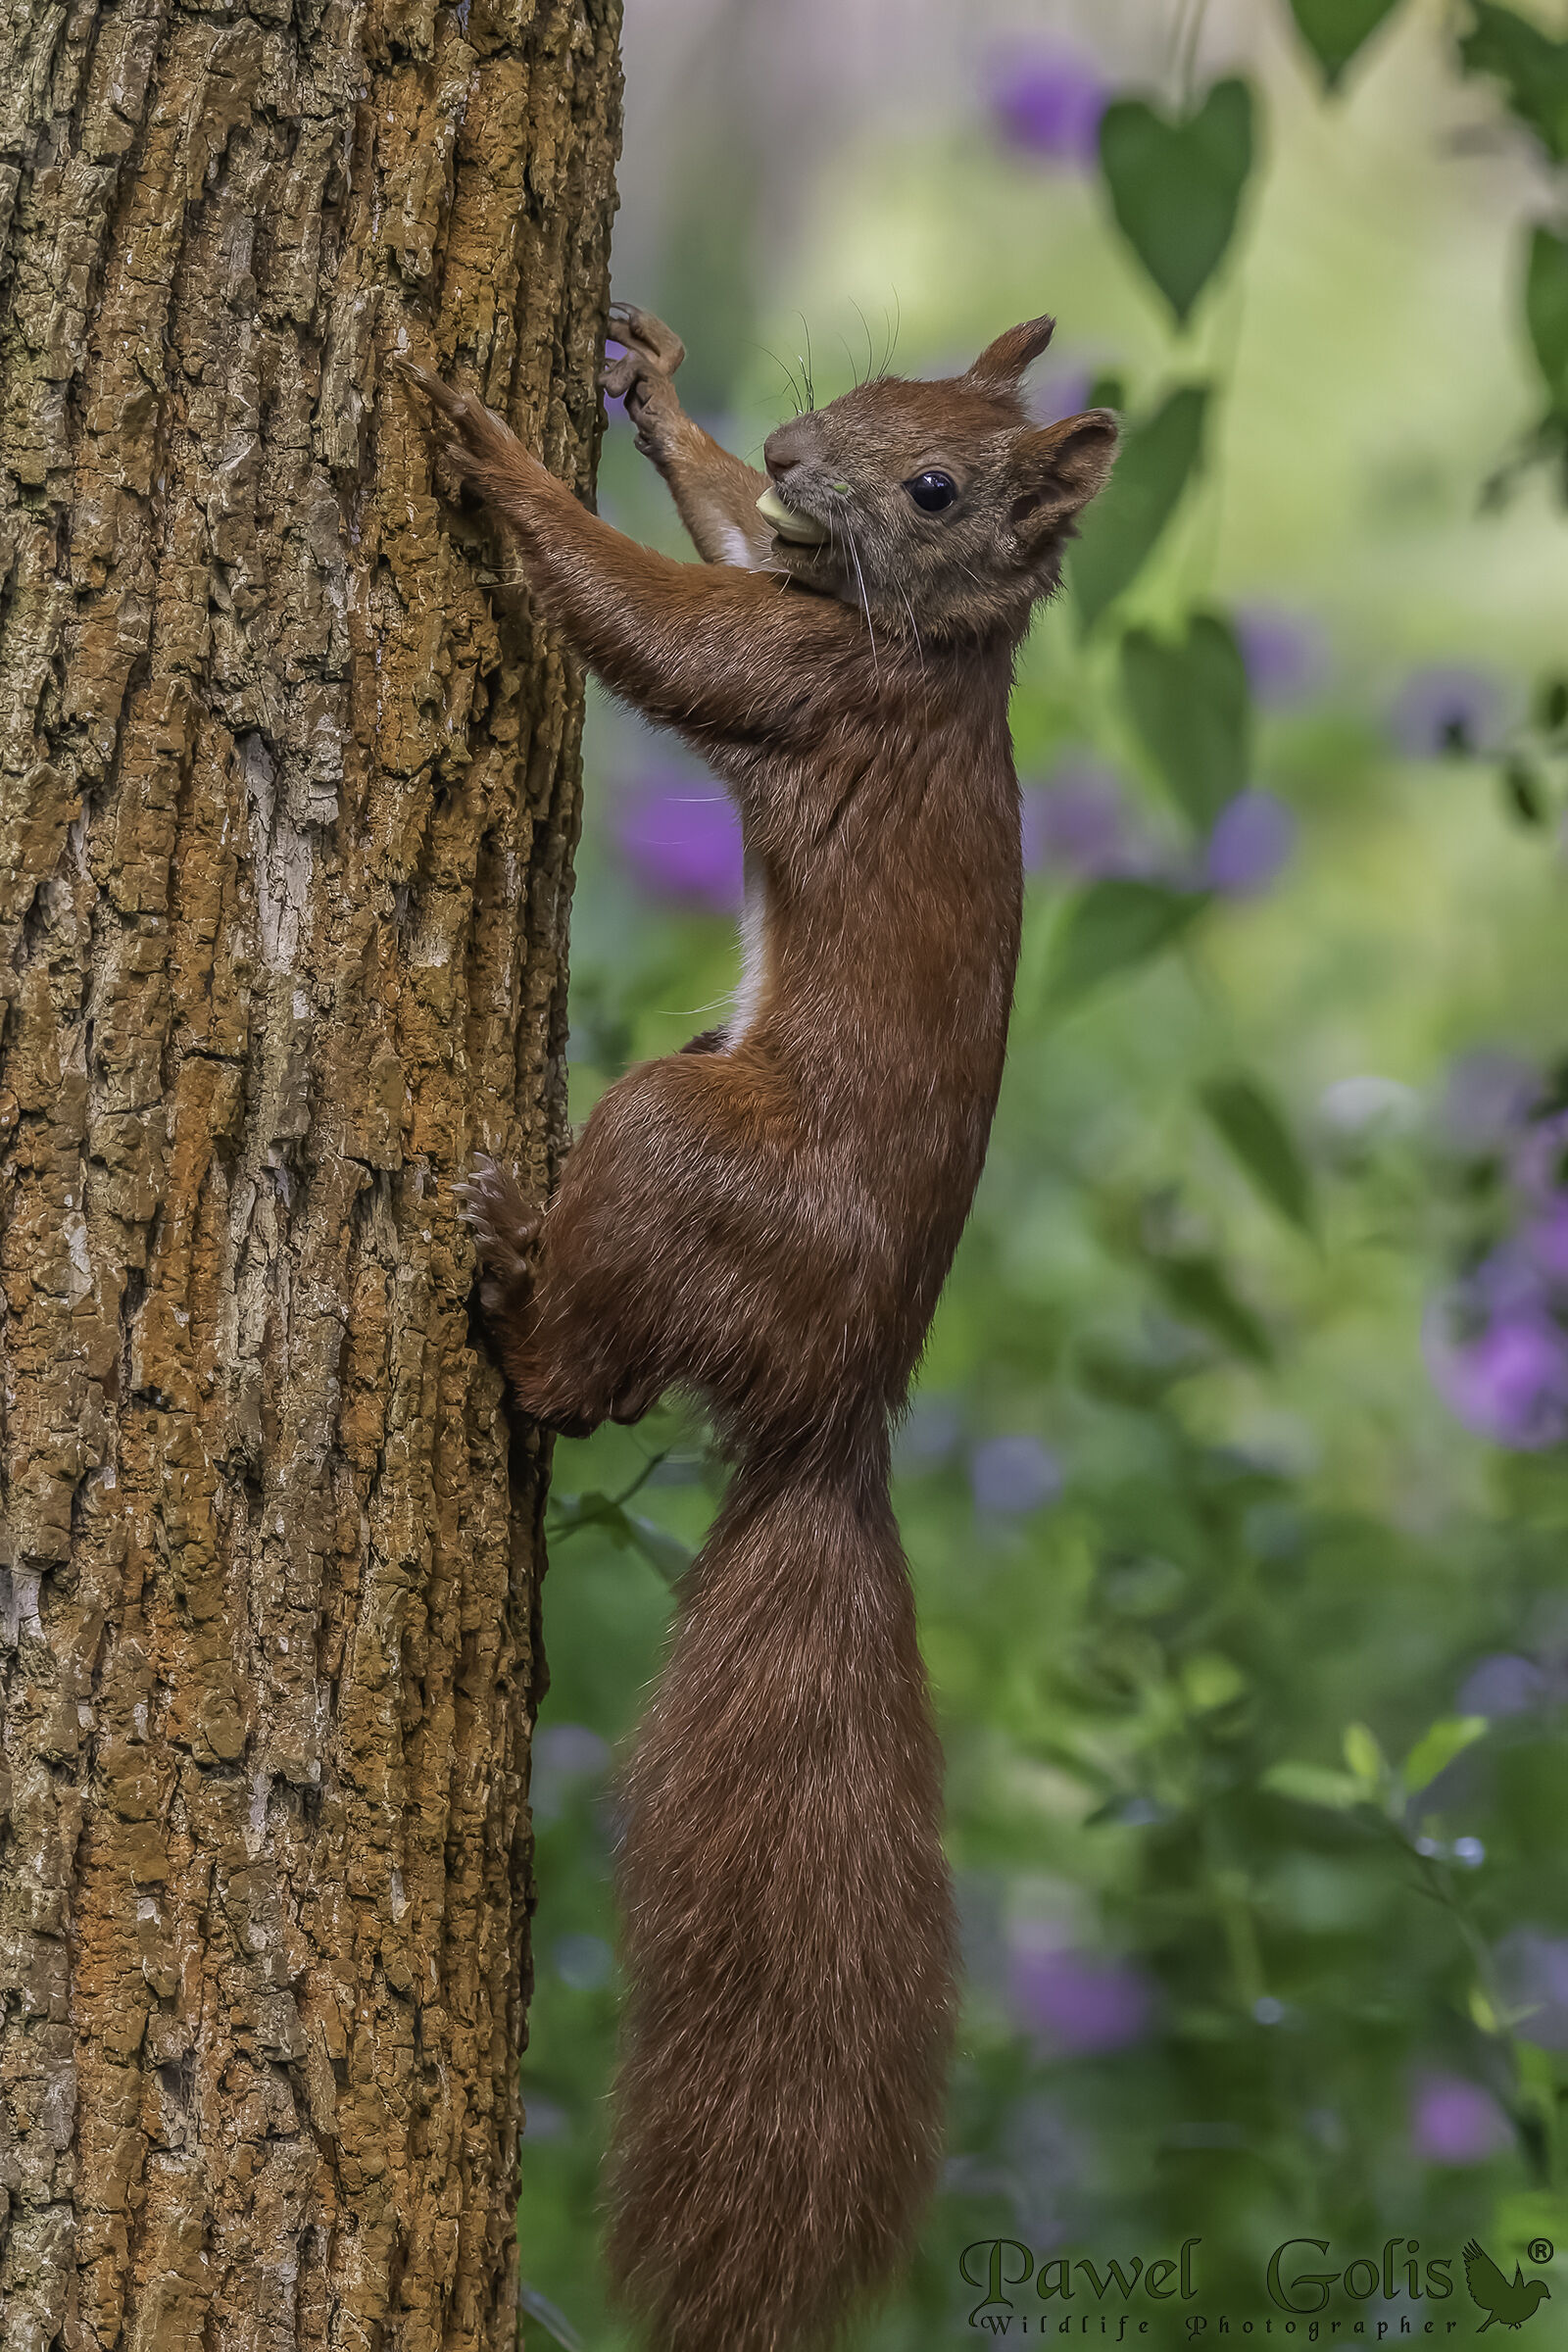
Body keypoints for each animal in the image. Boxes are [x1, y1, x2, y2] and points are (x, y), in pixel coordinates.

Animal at [398, 306, 1116, 2352]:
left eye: (940, 483)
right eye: (870, 398)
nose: (803, 452)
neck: (939, 653)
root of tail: (838, 1399)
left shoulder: (812, 685)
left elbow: (659, 624)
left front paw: (497, 450)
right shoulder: (795, 594)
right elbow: (722, 544)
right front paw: (653, 391)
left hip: (680, 1141)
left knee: (588, 1379)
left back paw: (507, 1275)